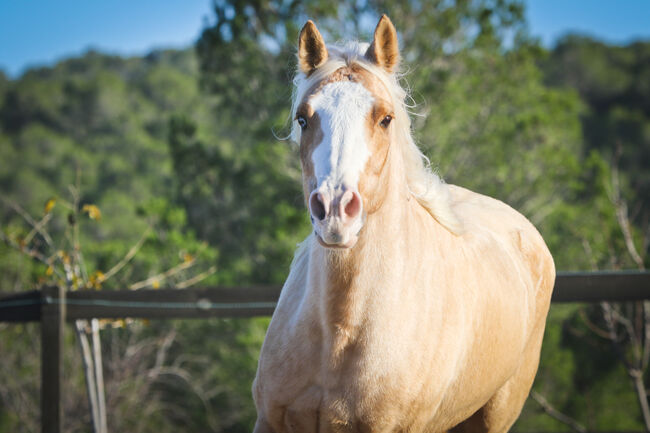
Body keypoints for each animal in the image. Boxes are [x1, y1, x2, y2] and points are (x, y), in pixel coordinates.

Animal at [251, 14, 556, 432]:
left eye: (385, 119)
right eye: (303, 118)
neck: (339, 330)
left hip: (494, 417)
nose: (335, 209)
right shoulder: (269, 420)